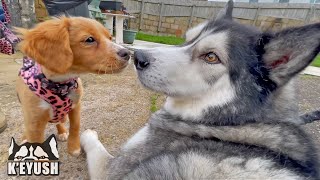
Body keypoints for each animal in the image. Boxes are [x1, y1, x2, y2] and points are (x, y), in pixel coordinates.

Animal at [14, 16, 130, 156]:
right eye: (89, 39)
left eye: (110, 37)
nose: (128, 53)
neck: (60, 85)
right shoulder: (34, 122)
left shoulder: (76, 105)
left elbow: (75, 126)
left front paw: (74, 147)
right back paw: (25, 138)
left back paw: (62, 131)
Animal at [80, 0, 320, 179]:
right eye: (187, 39)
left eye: (211, 56)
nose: (137, 57)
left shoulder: (111, 169)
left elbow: (95, 146)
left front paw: (87, 134)